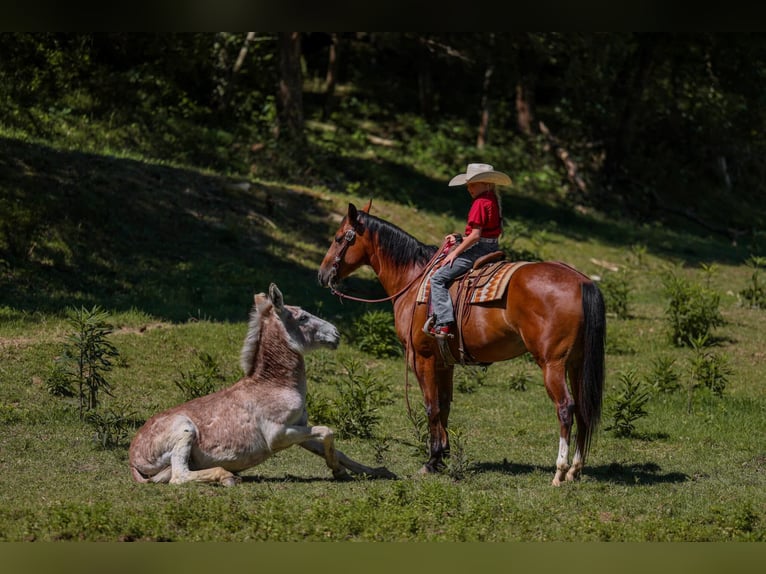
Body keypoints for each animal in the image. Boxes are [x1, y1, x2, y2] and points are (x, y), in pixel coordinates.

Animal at [129, 283, 396, 485]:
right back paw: (227, 476)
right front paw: (338, 470)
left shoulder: (299, 430)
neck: (276, 386)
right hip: (184, 431)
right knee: (179, 477)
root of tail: (133, 456)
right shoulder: (277, 435)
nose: (336, 334)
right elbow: (328, 431)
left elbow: (334, 446)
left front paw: (372, 471)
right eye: (303, 317)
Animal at [318, 202, 606, 485]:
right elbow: (444, 405)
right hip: (576, 364)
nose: (322, 275)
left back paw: (560, 471)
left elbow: (431, 406)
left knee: (566, 408)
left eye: (339, 238)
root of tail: (582, 281)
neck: (413, 279)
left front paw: (431, 461)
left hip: (552, 363)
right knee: (582, 408)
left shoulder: (422, 358)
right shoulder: (445, 362)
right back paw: (575, 470)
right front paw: (441, 457)